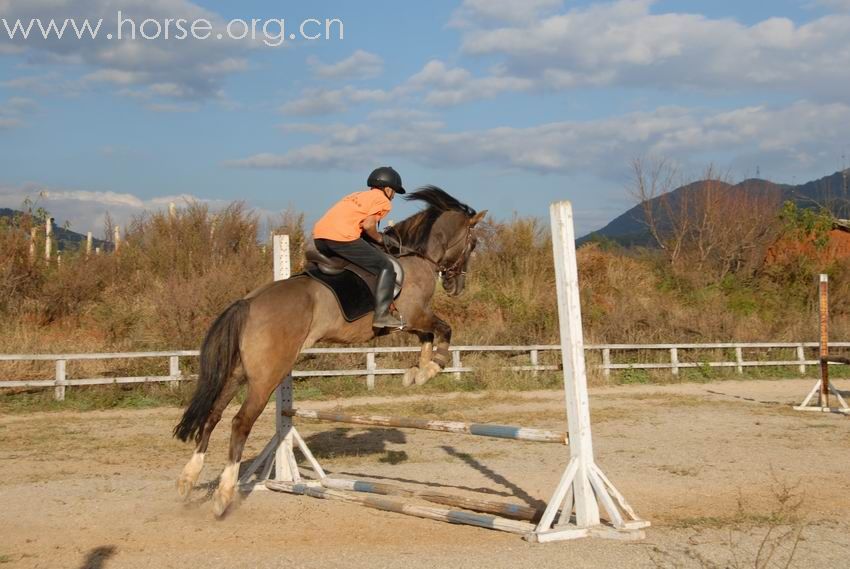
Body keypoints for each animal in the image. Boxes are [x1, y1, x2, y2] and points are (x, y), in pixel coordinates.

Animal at [171, 186, 484, 516]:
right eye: (473, 244)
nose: (456, 287)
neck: (414, 258)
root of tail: (248, 303)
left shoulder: (410, 322)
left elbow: (427, 336)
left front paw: (415, 373)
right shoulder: (414, 314)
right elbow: (443, 330)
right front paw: (432, 368)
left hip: (238, 372)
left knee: (213, 415)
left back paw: (188, 480)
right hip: (267, 376)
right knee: (240, 422)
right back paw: (223, 495)